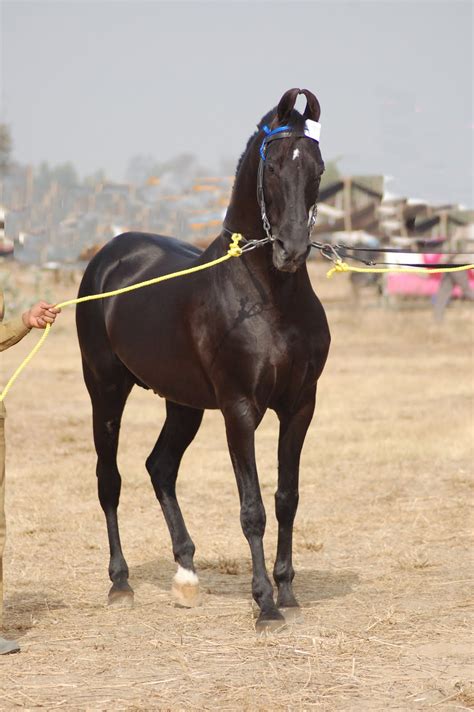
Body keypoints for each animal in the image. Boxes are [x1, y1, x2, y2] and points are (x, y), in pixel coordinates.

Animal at [77, 87, 330, 628]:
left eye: (317, 168)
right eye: (272, 165)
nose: (291, 250)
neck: (269, 297)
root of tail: (109, 255)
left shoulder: (300, 406)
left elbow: (286, 498)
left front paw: (287, 592)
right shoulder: (240, 410)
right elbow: (252, 508)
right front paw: (265, 606)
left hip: (183, 403)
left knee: (160, 467)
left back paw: (187, 575)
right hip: (105, 390)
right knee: (110, 480)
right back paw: (121, 583)